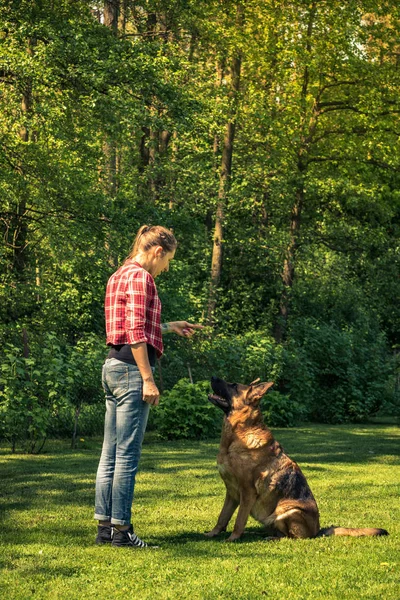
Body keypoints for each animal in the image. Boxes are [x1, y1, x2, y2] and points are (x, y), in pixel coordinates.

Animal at [205, 378, 390, 540]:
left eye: (234, 385)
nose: (213, 377)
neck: (235, 438)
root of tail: (317, 531)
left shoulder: (247, 492)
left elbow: (239, 520)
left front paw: (232, 538)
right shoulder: (232, 492)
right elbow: (223, 517)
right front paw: (213, 534)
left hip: (286, 511)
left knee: (292, 537)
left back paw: (272, 538)